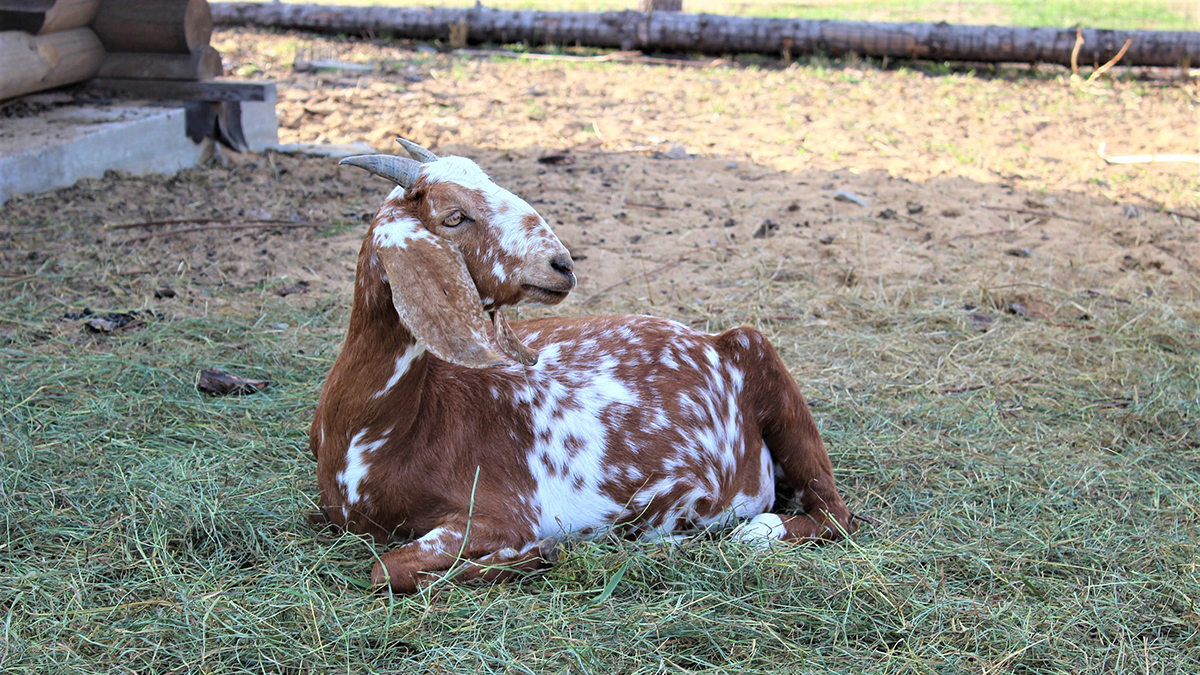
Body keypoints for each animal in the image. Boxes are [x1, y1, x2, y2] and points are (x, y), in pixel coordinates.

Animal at [309, 139, 854, 590]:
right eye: (454, 216)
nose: (561, 265)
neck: (379, 426)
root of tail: (715, 342)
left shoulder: (502, 512)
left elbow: (388, 568)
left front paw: (540, 552)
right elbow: (385, 564)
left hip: (761, 356)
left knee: (834, 515)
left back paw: (746, 532)